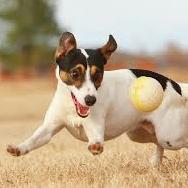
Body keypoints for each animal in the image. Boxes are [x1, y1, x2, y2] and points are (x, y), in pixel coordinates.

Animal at [6, 32, 188, 166]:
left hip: (170, 136)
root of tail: (176, 85)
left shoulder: (95, 126)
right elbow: (33, 140)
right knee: (157, 143)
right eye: (75, 73)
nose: (90, 100)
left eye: (98, 74)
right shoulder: (49, 128)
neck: (72, 107)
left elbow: (96, 139)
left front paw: (95, 147)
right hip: (139, 133)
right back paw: (156, 162)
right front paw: (18, 148)